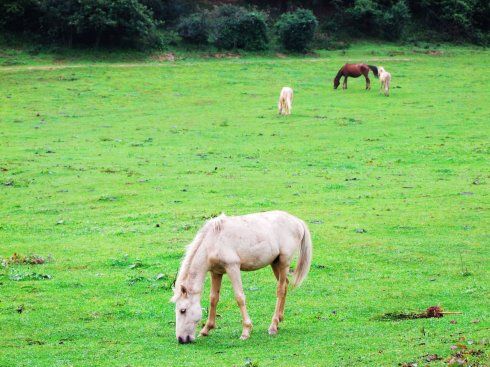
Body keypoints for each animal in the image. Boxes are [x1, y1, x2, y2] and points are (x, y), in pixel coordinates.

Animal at [170, 211, 312, 344]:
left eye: (183, 310)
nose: (181, 339)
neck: (214, 240)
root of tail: (297, 221)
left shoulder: (232, 267)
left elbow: (239, 297)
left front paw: (246, 331)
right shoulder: (216, 272)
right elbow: (213, 298)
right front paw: (206, 329)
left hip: (283, 262)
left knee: (281, 289)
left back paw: (273, 326)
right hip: (275, 263)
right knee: (285, 285)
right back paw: (280, 319)